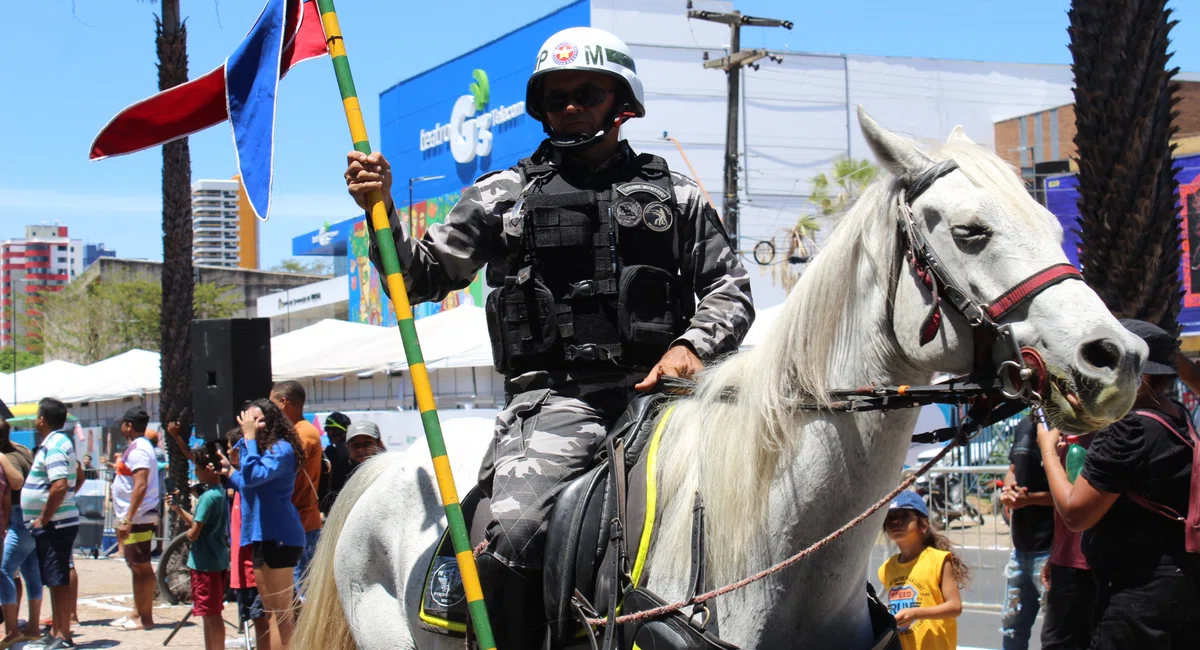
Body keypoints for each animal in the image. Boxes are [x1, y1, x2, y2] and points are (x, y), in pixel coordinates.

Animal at [295, 109, 1147, 647]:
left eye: (1053, 225)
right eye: (971, 232)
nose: (1117, 358)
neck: (775, 550)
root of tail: (383, 469)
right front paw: (373, 188)